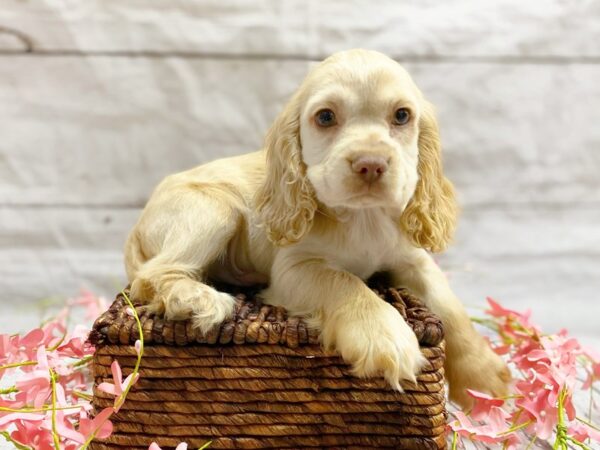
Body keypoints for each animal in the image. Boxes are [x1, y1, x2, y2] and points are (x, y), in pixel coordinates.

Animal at [125, 49, 510, 408]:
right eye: (325, 117)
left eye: (402, 115)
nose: (371, 164)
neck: (363, 218)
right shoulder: (295, 268)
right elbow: (345, 283)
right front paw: (386, 337)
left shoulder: (412, 259)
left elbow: (449, 306)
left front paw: (484, 381)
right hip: (214, 209)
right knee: (153, 274)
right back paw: (196, 298)